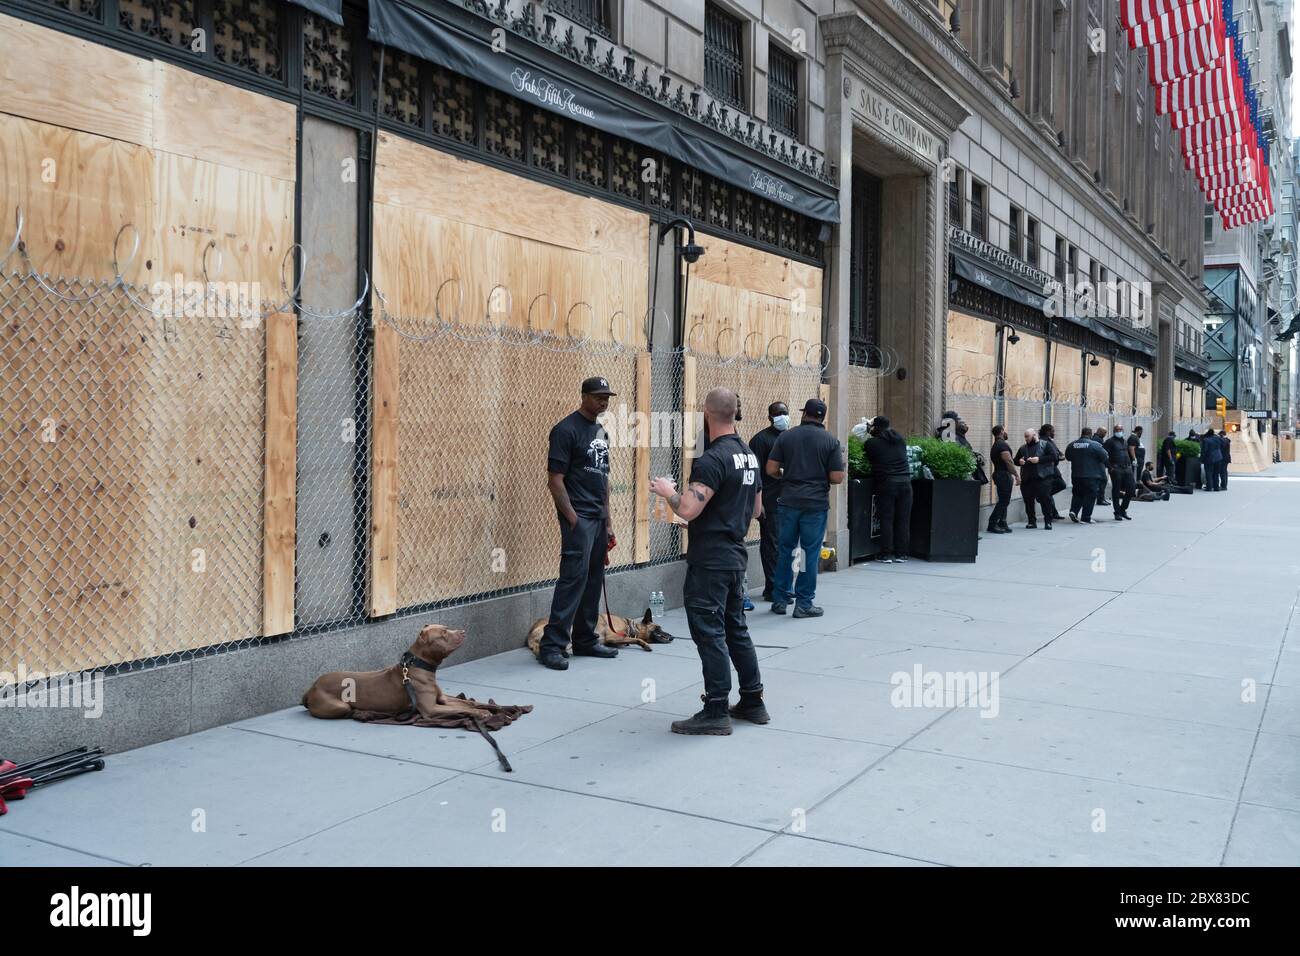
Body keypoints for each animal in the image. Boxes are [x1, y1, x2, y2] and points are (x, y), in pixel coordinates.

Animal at [301, 621, 530, 733]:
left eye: (447, 629)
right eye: (444, 634)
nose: (463, 631)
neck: (419, 665)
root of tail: (310, 689)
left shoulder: (443, 699)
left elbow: (471, 703)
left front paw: (501, 708)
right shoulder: (431, 709)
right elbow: (463, 709)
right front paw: (482, 714)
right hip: (340, 705)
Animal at [525, 608, 676, 655]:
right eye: (659, 628)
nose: (673, 636)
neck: (630, 626)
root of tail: (530, 636)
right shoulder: (613, 637)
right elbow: (637, 639)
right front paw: (645, 645)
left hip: (570, 642)